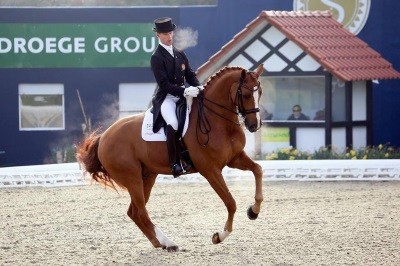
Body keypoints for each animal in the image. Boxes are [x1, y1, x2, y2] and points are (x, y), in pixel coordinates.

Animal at [77, 64, 266, 251]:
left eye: (260, 93)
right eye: (246, 95)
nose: (254, 125)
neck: (218, 121)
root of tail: (103, 137)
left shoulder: (235, 158)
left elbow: (258, 170)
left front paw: (254, 211)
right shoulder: (210, 170)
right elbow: (231, 202)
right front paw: (219, 236)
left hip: (147, 176)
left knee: (134, 212)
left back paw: (159, 243)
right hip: (132, 178)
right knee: (141, 212)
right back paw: (168, 242)